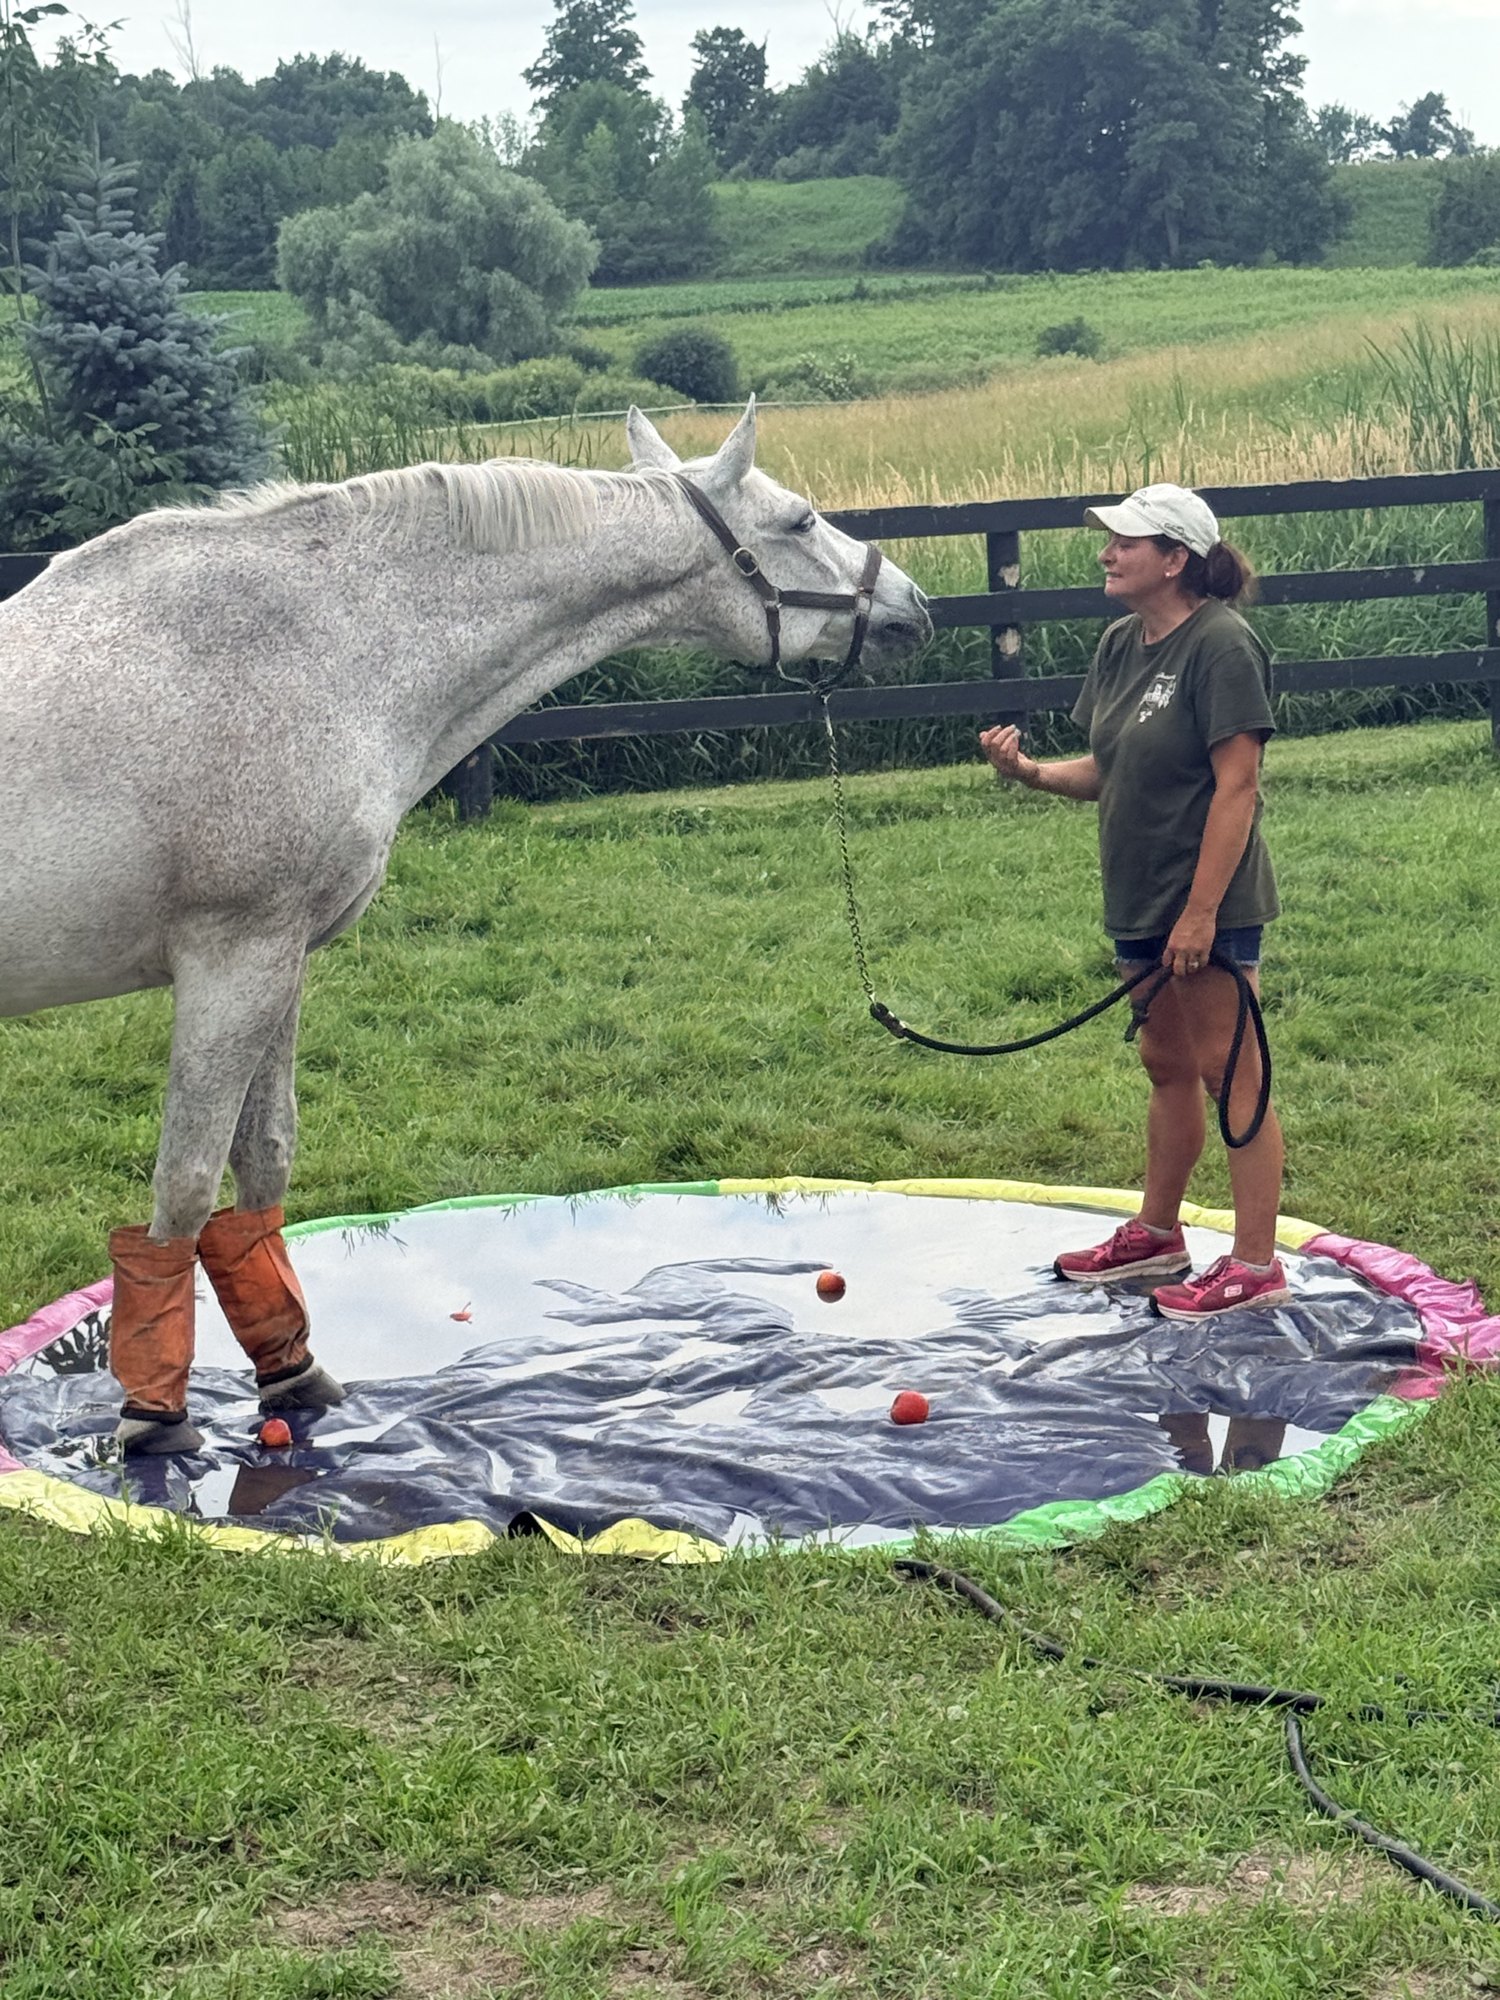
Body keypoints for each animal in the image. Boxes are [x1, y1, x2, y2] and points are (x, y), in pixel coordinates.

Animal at [0, 400, 933, 1453]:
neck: (313, 644)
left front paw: (292, 1376)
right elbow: (187, 1185)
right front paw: (154, 1420)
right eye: (801, 519)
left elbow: (263, 1164)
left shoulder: (277, 961)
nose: (914, 608)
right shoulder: (230, 958)